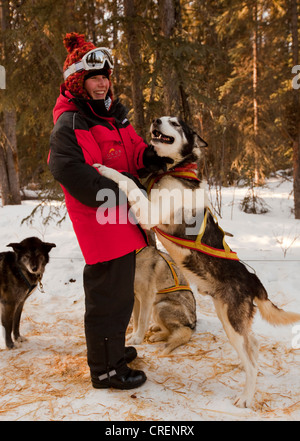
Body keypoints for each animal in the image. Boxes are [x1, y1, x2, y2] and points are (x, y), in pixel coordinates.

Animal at [95, 116, 300, 406]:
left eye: (176, 124)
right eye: (165, 118)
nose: (157, 120)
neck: (174, 172)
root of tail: (253, 280)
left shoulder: (149, 214)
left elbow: (129, 182)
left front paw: (107, 169)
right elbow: (136, 181)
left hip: (230, 321)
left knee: (251, 360)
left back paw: (246, 397)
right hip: (228, 317)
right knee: (253, 346)